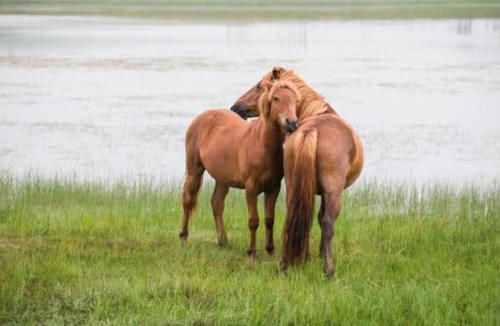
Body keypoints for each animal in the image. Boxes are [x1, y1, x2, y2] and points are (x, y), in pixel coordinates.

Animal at [181, 81, 300, 260]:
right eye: (276, 98)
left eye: (295, 100)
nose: (292, 123)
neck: (262, 145)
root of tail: (202, 116)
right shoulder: (251, 188)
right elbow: (253, 221)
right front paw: (252, 253)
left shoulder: (273, 188)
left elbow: (269, 220)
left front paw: (270, 250)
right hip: (194, 170)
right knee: (188, 199)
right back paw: (183, 237)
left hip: (222, 179)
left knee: (216, 203)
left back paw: (223, 241)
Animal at [230, 67, 364, 276]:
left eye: (259, 86)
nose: (236, 107)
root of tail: (312, 131)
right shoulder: (326, 193)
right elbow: (322, 219)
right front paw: (320, 256)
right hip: (333, 192)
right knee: (328, 223)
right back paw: (328, 270)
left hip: (293, 185)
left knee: (295, 217)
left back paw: (287, 263)